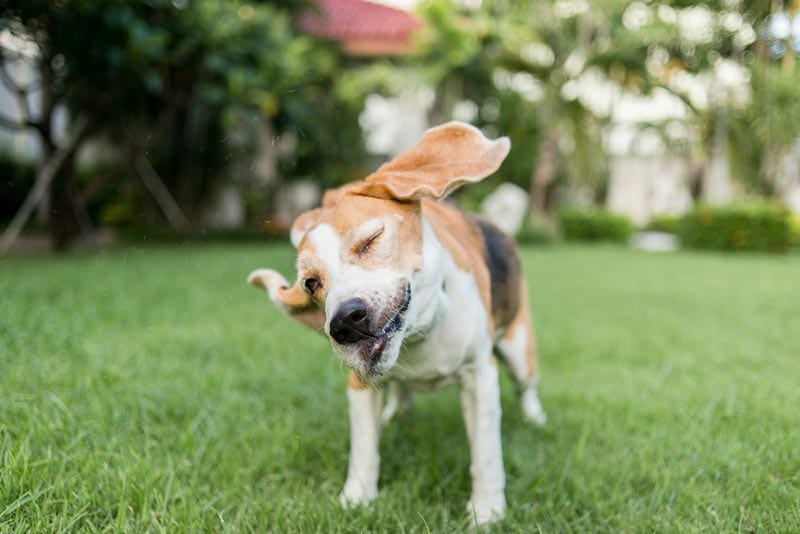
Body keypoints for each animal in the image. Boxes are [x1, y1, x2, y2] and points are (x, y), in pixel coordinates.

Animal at [250, 122, 548, 528]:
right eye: (311, 283)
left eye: (370, 240)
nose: (343, 323)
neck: (418, 334)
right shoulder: (359, 385)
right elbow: (364, 449)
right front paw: (356, 499)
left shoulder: (480, 377)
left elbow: (485, 455)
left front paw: (486, 512)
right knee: (400, 390)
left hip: (518, 350)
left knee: (526, 386)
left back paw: (535, 418)